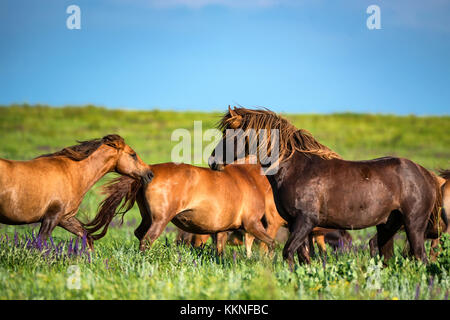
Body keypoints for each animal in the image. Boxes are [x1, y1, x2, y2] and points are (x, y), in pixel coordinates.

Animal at [0, 134, 153, 249]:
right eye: (133, 155)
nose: (150, 174)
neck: (71, 173)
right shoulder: (52, 216)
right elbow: (40, 243)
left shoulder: (65, 218)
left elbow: (87, 237)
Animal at [208, 106, 446, 264]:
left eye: (229, 134)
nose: (212, 161)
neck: (296, 168)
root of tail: (426, 174)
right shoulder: (297, 224)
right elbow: (302, 257)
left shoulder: (306, 221)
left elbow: (288, 252)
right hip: (389, 225)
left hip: (413, 225)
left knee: (421, 258)